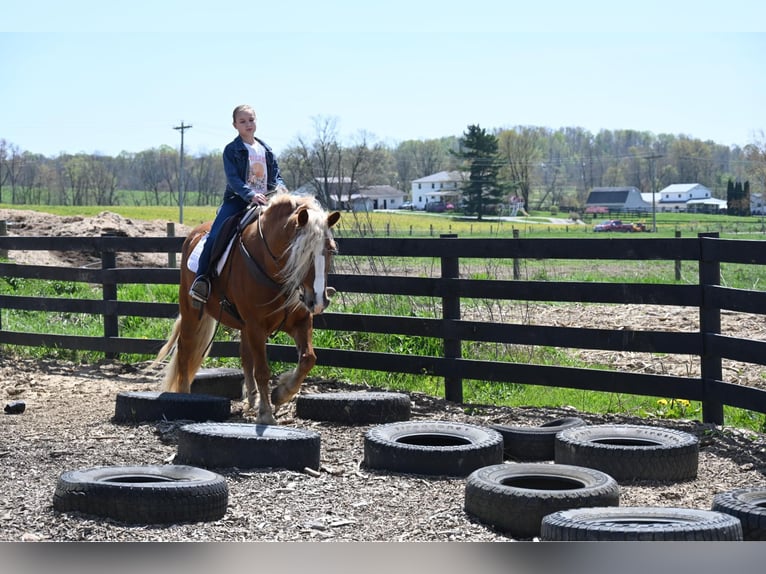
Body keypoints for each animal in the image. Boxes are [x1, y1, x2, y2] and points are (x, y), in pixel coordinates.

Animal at [154, 191, 340, 426]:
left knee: (244, 355)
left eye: (331, 250)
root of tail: (193, 235)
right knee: (185, 350)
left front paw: (281, 393)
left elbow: (308, 359)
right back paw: (187, 395)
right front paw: (266, 414)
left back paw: (252, 397)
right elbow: (262, 370)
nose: (317, 301)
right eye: (300, 252)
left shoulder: (300, 321)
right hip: (191, 312)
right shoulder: (256, 326)